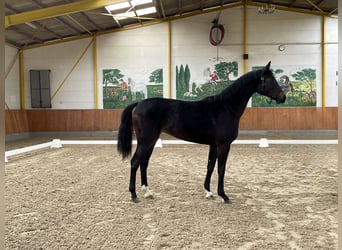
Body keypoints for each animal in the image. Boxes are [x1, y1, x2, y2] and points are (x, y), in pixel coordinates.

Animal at [117, 60, 286, 203]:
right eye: (269, 80)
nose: (283, 97)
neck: (226, 107)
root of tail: (138, 103)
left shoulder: (214, 145)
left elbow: (210, 166)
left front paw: (208, 192)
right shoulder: (224, 145)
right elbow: (221, 169)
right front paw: (224, 195)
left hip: (151, 140)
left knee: (144, 163)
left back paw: (147, 192)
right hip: (146, 140)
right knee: (135, 162)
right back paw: (134, 194)